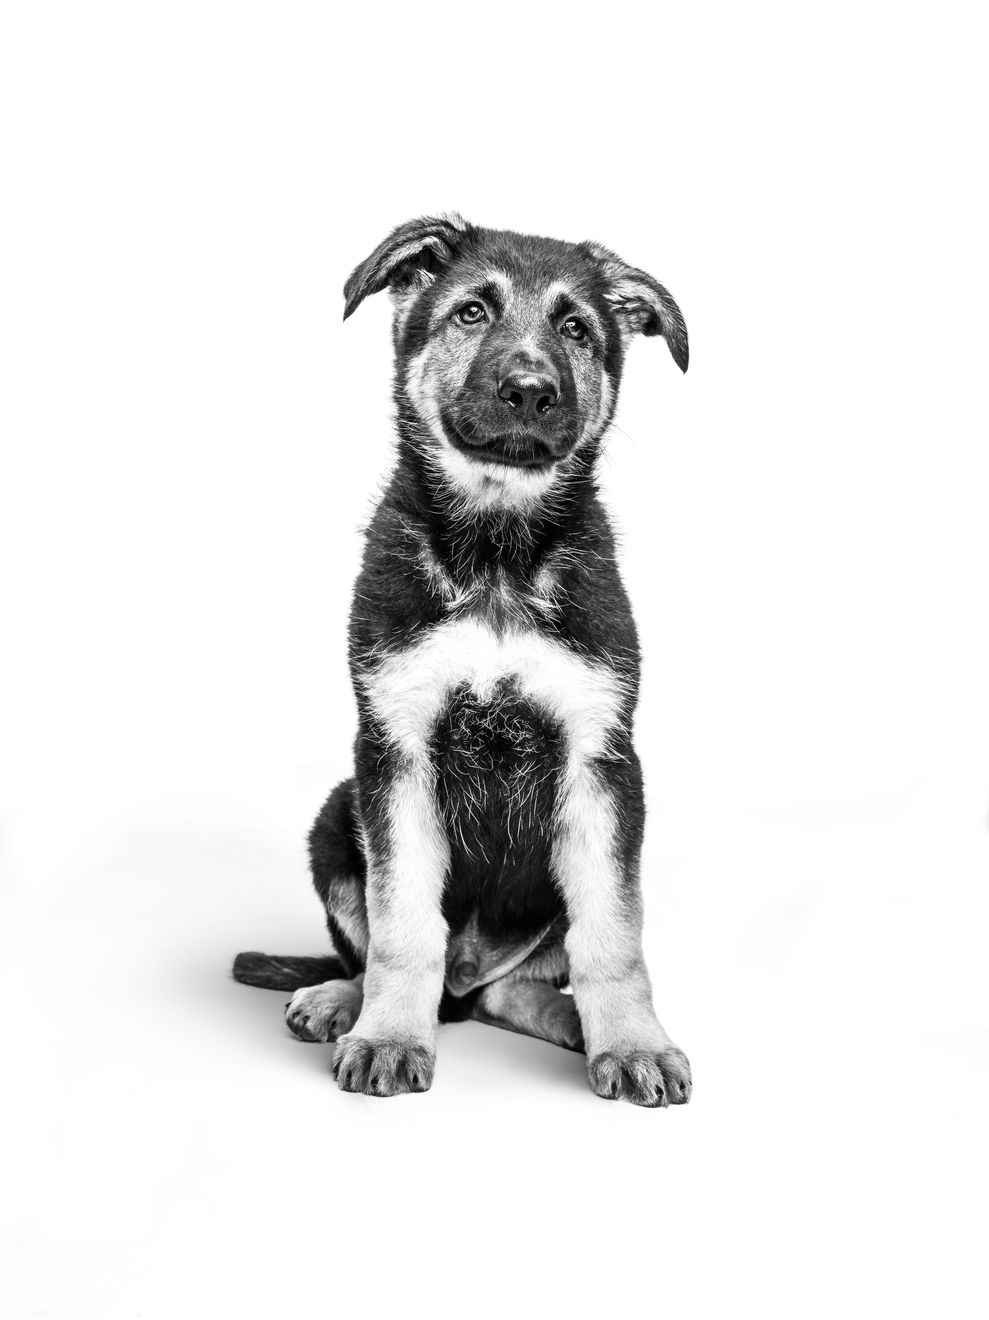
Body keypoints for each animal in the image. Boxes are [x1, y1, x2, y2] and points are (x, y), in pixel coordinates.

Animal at [235, 213, 691, 1103]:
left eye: (576, 329)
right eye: (471, 313)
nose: (531, 390)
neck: (496, 550)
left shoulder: (602, 764)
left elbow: (613, 931)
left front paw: (633, 1043)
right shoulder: (396, 751)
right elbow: (403, 920)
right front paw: (387, 1036)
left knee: (506, 990)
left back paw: (568, 1020)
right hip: (335, 815)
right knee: (408, 961)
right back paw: (342, 1000)